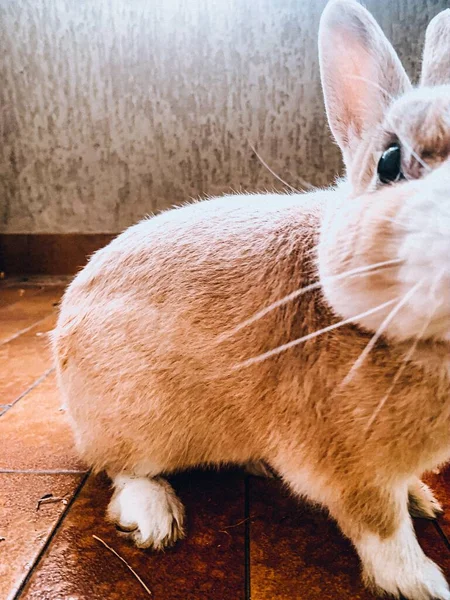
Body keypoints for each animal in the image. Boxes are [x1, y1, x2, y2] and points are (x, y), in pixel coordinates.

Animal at [53, 0, 450, 596]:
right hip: (139, 422)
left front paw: (423, 499)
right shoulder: (349, 468)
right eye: (388, 162)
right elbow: (381, 529)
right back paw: (155, 514)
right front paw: (422, 582)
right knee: (119, 467)